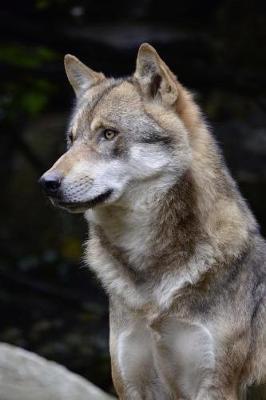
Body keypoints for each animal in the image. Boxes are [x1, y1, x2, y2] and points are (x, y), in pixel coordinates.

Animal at [39, 44, 266, 400]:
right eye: (71, 140)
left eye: (108, 133)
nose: (47, 182)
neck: (151, 280)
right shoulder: (131, 385)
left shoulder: (216, 387)